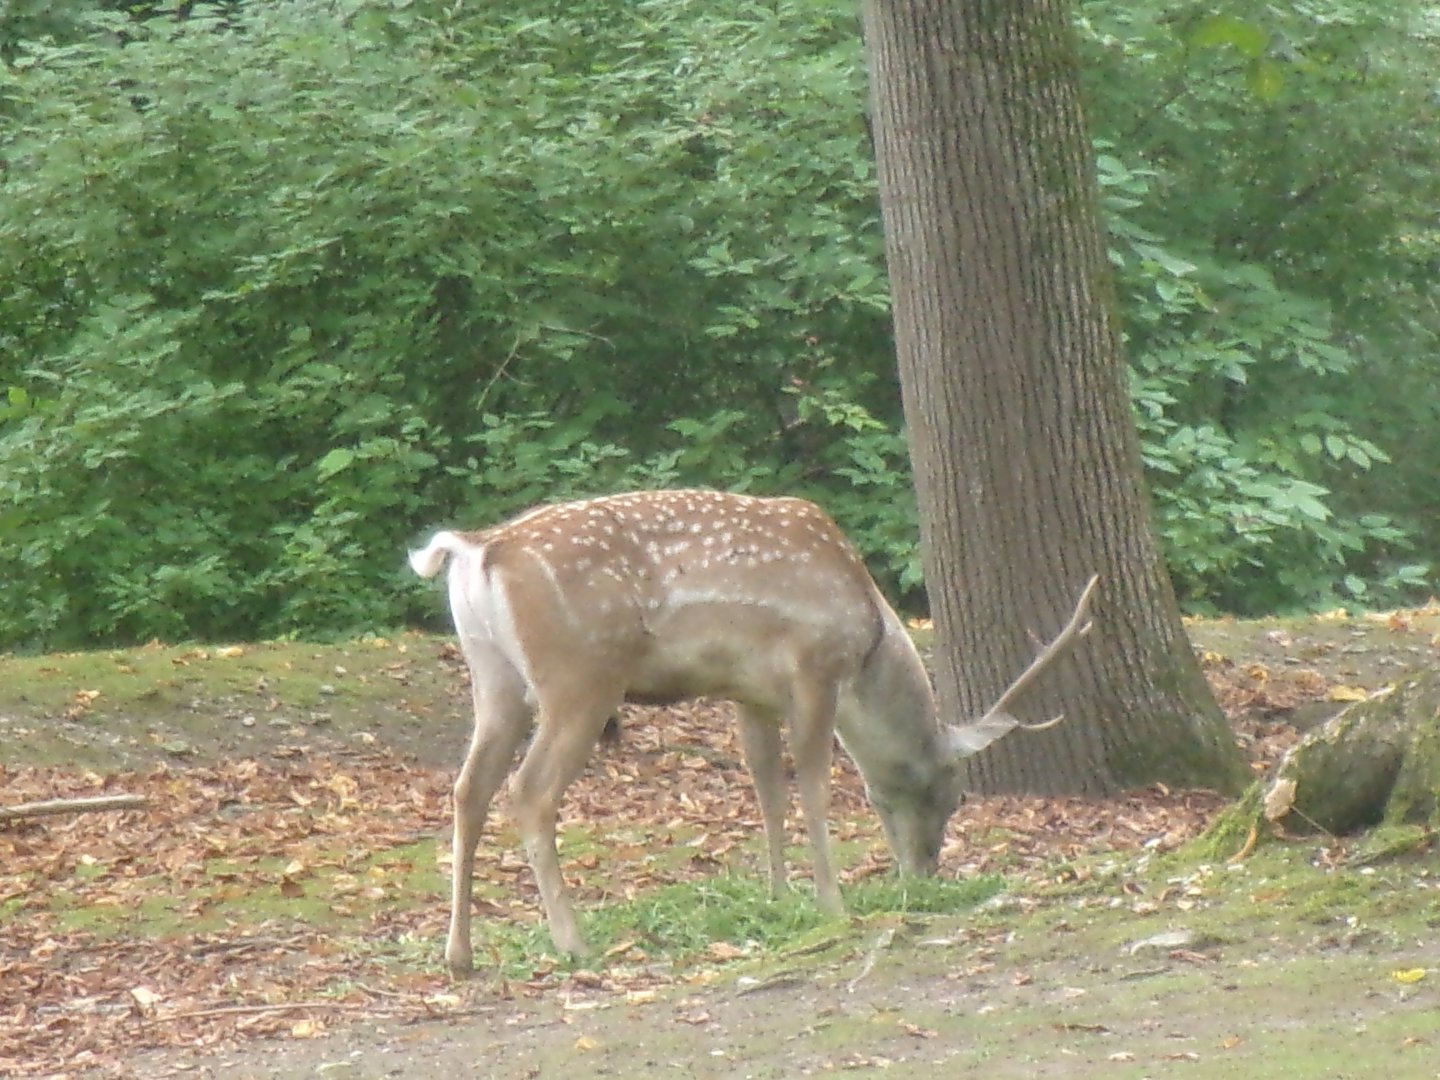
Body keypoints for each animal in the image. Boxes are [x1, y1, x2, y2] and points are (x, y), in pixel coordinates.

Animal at [409, 489, 1097, 975]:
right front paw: (831, 904)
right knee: (529, 791)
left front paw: (779, 895)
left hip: (494, 679)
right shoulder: (815, 670)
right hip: (578, 676)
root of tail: (475, 551)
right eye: (949, 794)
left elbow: (766, 786)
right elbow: (814, 786)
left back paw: (459, 955)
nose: (923, 872)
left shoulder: (749, 693)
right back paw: (572, 942)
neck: (868, 637)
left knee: (469, 789)